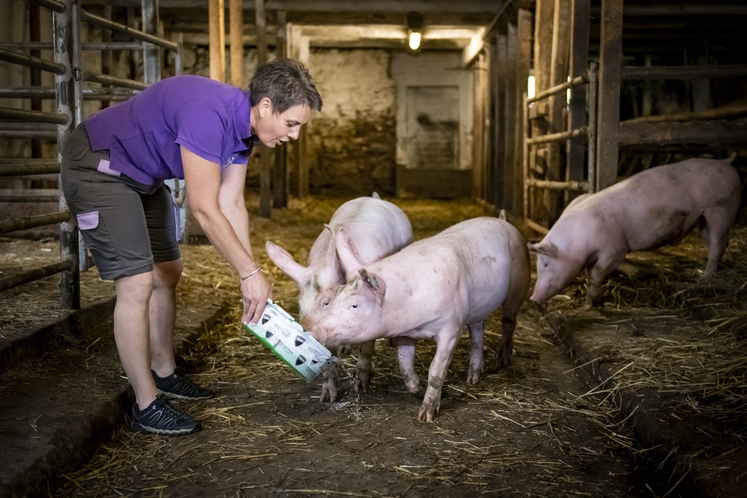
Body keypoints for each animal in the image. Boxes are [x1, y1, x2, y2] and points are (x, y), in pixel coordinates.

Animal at [264, 193, 414, 402]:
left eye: (326, 302)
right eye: (299, 303)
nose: (307, 335)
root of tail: (375, 198)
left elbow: (366, 349)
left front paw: (360, 388)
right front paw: (328, 398)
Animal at [306, 216, 532, 422]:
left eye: (354, 305)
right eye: (335, 298)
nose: (311, 330)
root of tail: (504, 221)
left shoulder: (451, 328)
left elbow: (436, 370)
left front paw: (426, 416)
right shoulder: (405, 334)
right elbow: (405, 368)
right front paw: (418, 388)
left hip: (519, 283)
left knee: (508, 321)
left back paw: (502, 363)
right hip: (477, 305)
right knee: (478, 328)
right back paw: (473, 379)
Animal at [528, 156, 744, 312]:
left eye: (545, 264)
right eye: (537, 265)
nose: (533, 297)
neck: (577, 242)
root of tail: (726, 163)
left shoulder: (615, 249)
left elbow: (597, 274)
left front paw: (589, 308)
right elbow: (590, 277)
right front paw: (588, 305)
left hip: (720, 209)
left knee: (717, 244)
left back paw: (705, 278)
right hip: (702, 219)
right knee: (717, 242)